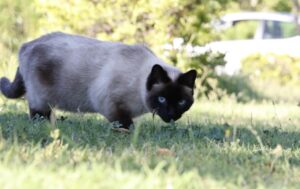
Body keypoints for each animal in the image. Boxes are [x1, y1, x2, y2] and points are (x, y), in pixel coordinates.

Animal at [0, 32, 197, 129]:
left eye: (181, 102)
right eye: (162, 99)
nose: (172, 114)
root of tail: (27, 45)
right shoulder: (112, 105)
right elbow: (126, 125)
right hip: (41, 99)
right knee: (37, 114)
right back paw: (46, 126)